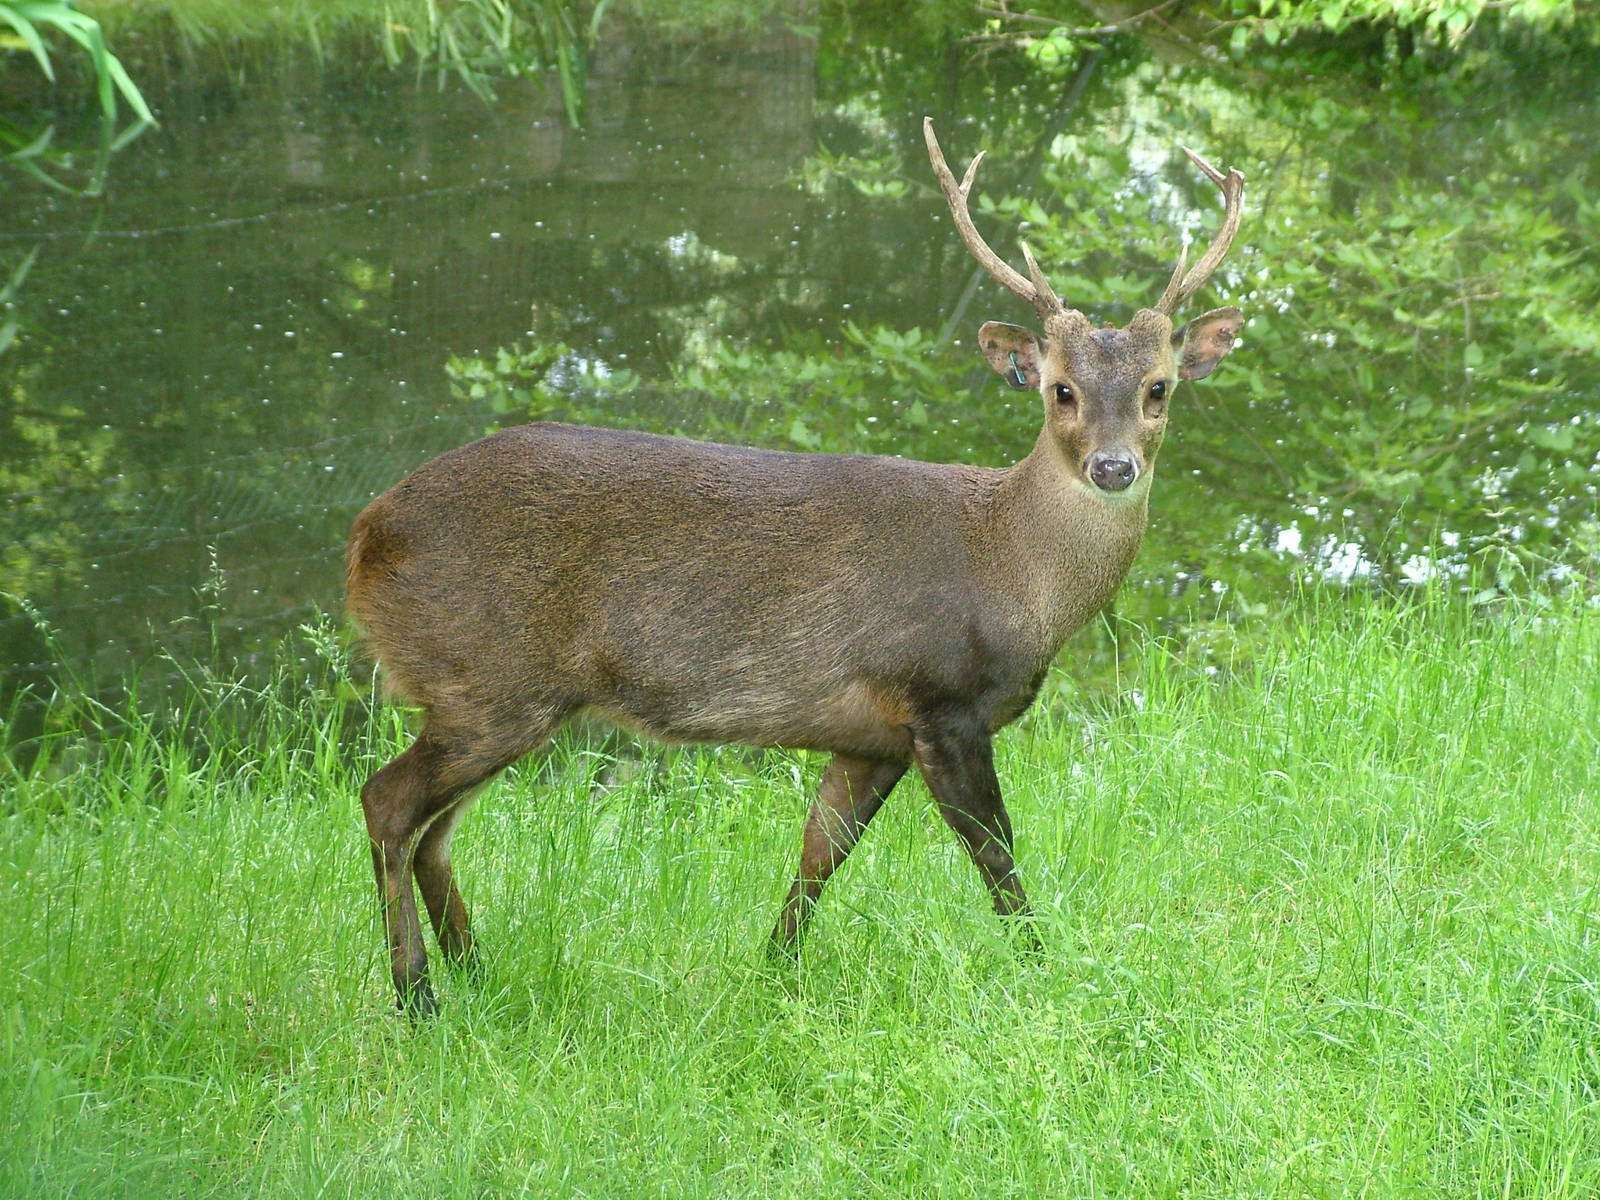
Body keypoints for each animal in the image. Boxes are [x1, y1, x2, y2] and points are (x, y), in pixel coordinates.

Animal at [346, 117, 1246, 1016]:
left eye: (1159, 388)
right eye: (1060, 390)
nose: (1113, 467)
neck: (1012, 576)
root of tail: (364, 535)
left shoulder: (874, 733)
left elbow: (821, 852)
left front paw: (773, 971)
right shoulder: (941, 699)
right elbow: (997, 855)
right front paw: (1047, 972)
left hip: (491, 695)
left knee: (432, 832)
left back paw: (475, 972)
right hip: (488, 678)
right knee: (388, 802)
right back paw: (417, 997)